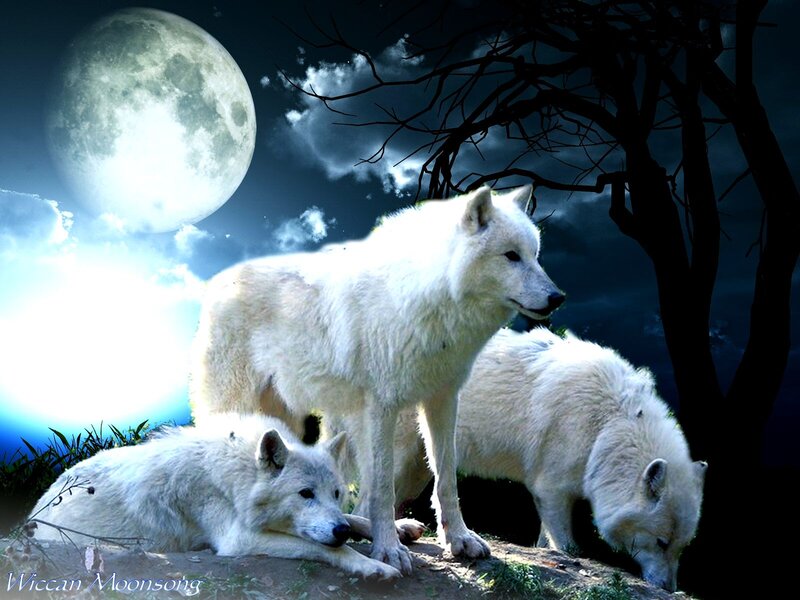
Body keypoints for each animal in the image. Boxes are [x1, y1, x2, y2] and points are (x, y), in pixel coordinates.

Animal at [28, 414, 423, 579]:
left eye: (337, 493)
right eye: (305, 494)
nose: (339, 531)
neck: (237, 477)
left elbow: (357, 517)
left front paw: (398, 530)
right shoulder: (239, 541)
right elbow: (329, 549)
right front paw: (374, 566)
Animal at [190, 185, 564, 574]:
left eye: (535, 255)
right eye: (511, 256)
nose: (557, 297)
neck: (430, 300)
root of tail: (219, 282)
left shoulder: (443, 398)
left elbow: (446, 477)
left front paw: (459, 540)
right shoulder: (382, 407)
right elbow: (383, 487)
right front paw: (388, 550)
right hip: (241, 408)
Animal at [380, 328, 706, 591]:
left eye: (681, 547)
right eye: (662, 542)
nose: (668, 588)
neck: (608, 426)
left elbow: (546, 545)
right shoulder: (551, 491)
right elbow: (568, 547)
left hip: (418, 472)